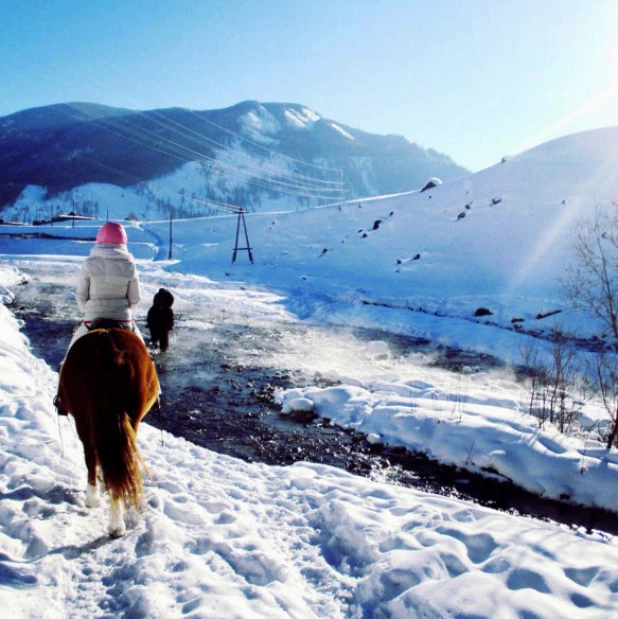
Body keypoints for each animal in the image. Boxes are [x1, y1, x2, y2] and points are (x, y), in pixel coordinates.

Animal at [58, 326, 159, 536]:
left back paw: (96, 502)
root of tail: (108, 346)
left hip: (82, 418)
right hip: (131, 418)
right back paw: (116, 520)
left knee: (91, 455)